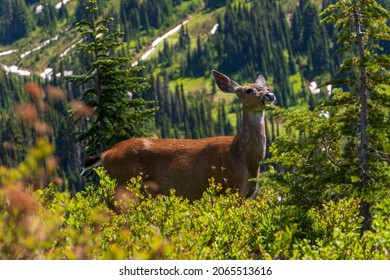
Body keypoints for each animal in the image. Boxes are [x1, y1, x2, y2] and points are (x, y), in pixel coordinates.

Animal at [80, 70, 276, 201]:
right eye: (248, 90)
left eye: (266, 86)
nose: (270, 95)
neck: (243, 157)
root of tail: (105, 154)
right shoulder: (224, 188)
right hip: (125, 184)